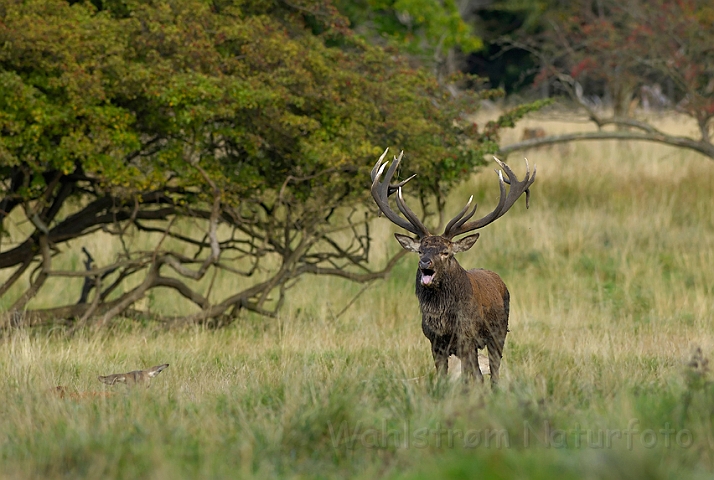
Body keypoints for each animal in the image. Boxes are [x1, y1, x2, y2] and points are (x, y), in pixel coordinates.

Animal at [372, 150, 536, 386]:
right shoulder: (435, 341)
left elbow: (473, 377)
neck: (443, 321)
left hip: (498, 333)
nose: (425, 263)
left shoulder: (466, 337)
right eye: (420, 250)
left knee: (492, 372)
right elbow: (442, 376)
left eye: (446, 252)